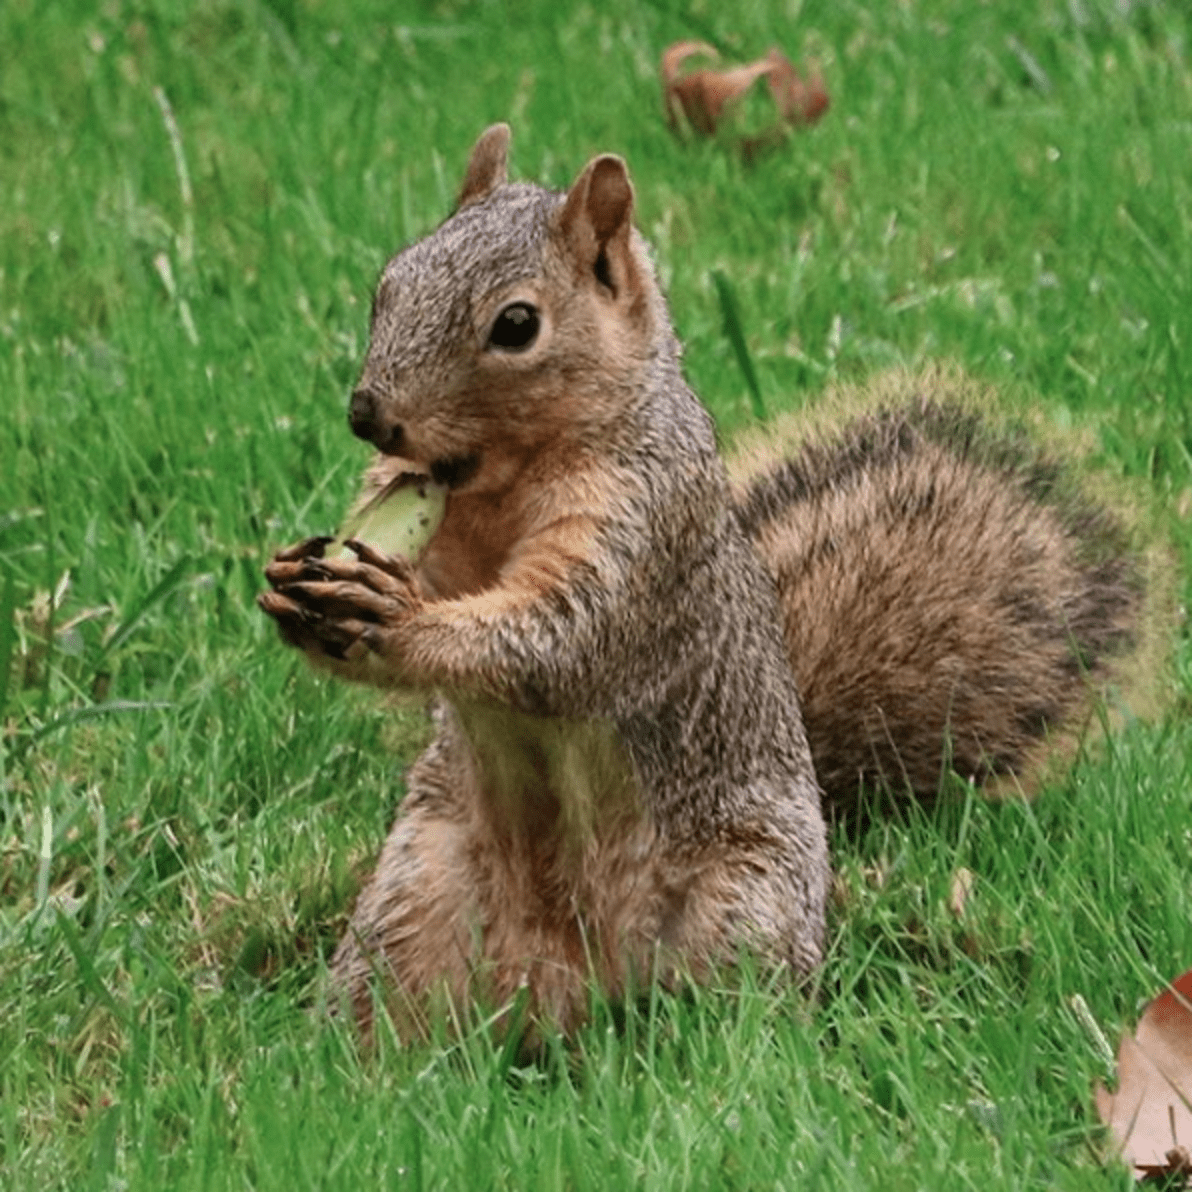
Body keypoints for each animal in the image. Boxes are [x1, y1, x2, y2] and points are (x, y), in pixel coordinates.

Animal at [259, 124, 1161, 1041]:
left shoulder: (646, 532)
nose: (369, 414)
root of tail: (566, 992)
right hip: (414, 898)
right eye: (390, 282)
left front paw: (396, 617)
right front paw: (296, 583)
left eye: (516, 324)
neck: (502, 485)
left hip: (742, 906)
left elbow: (557, 639)